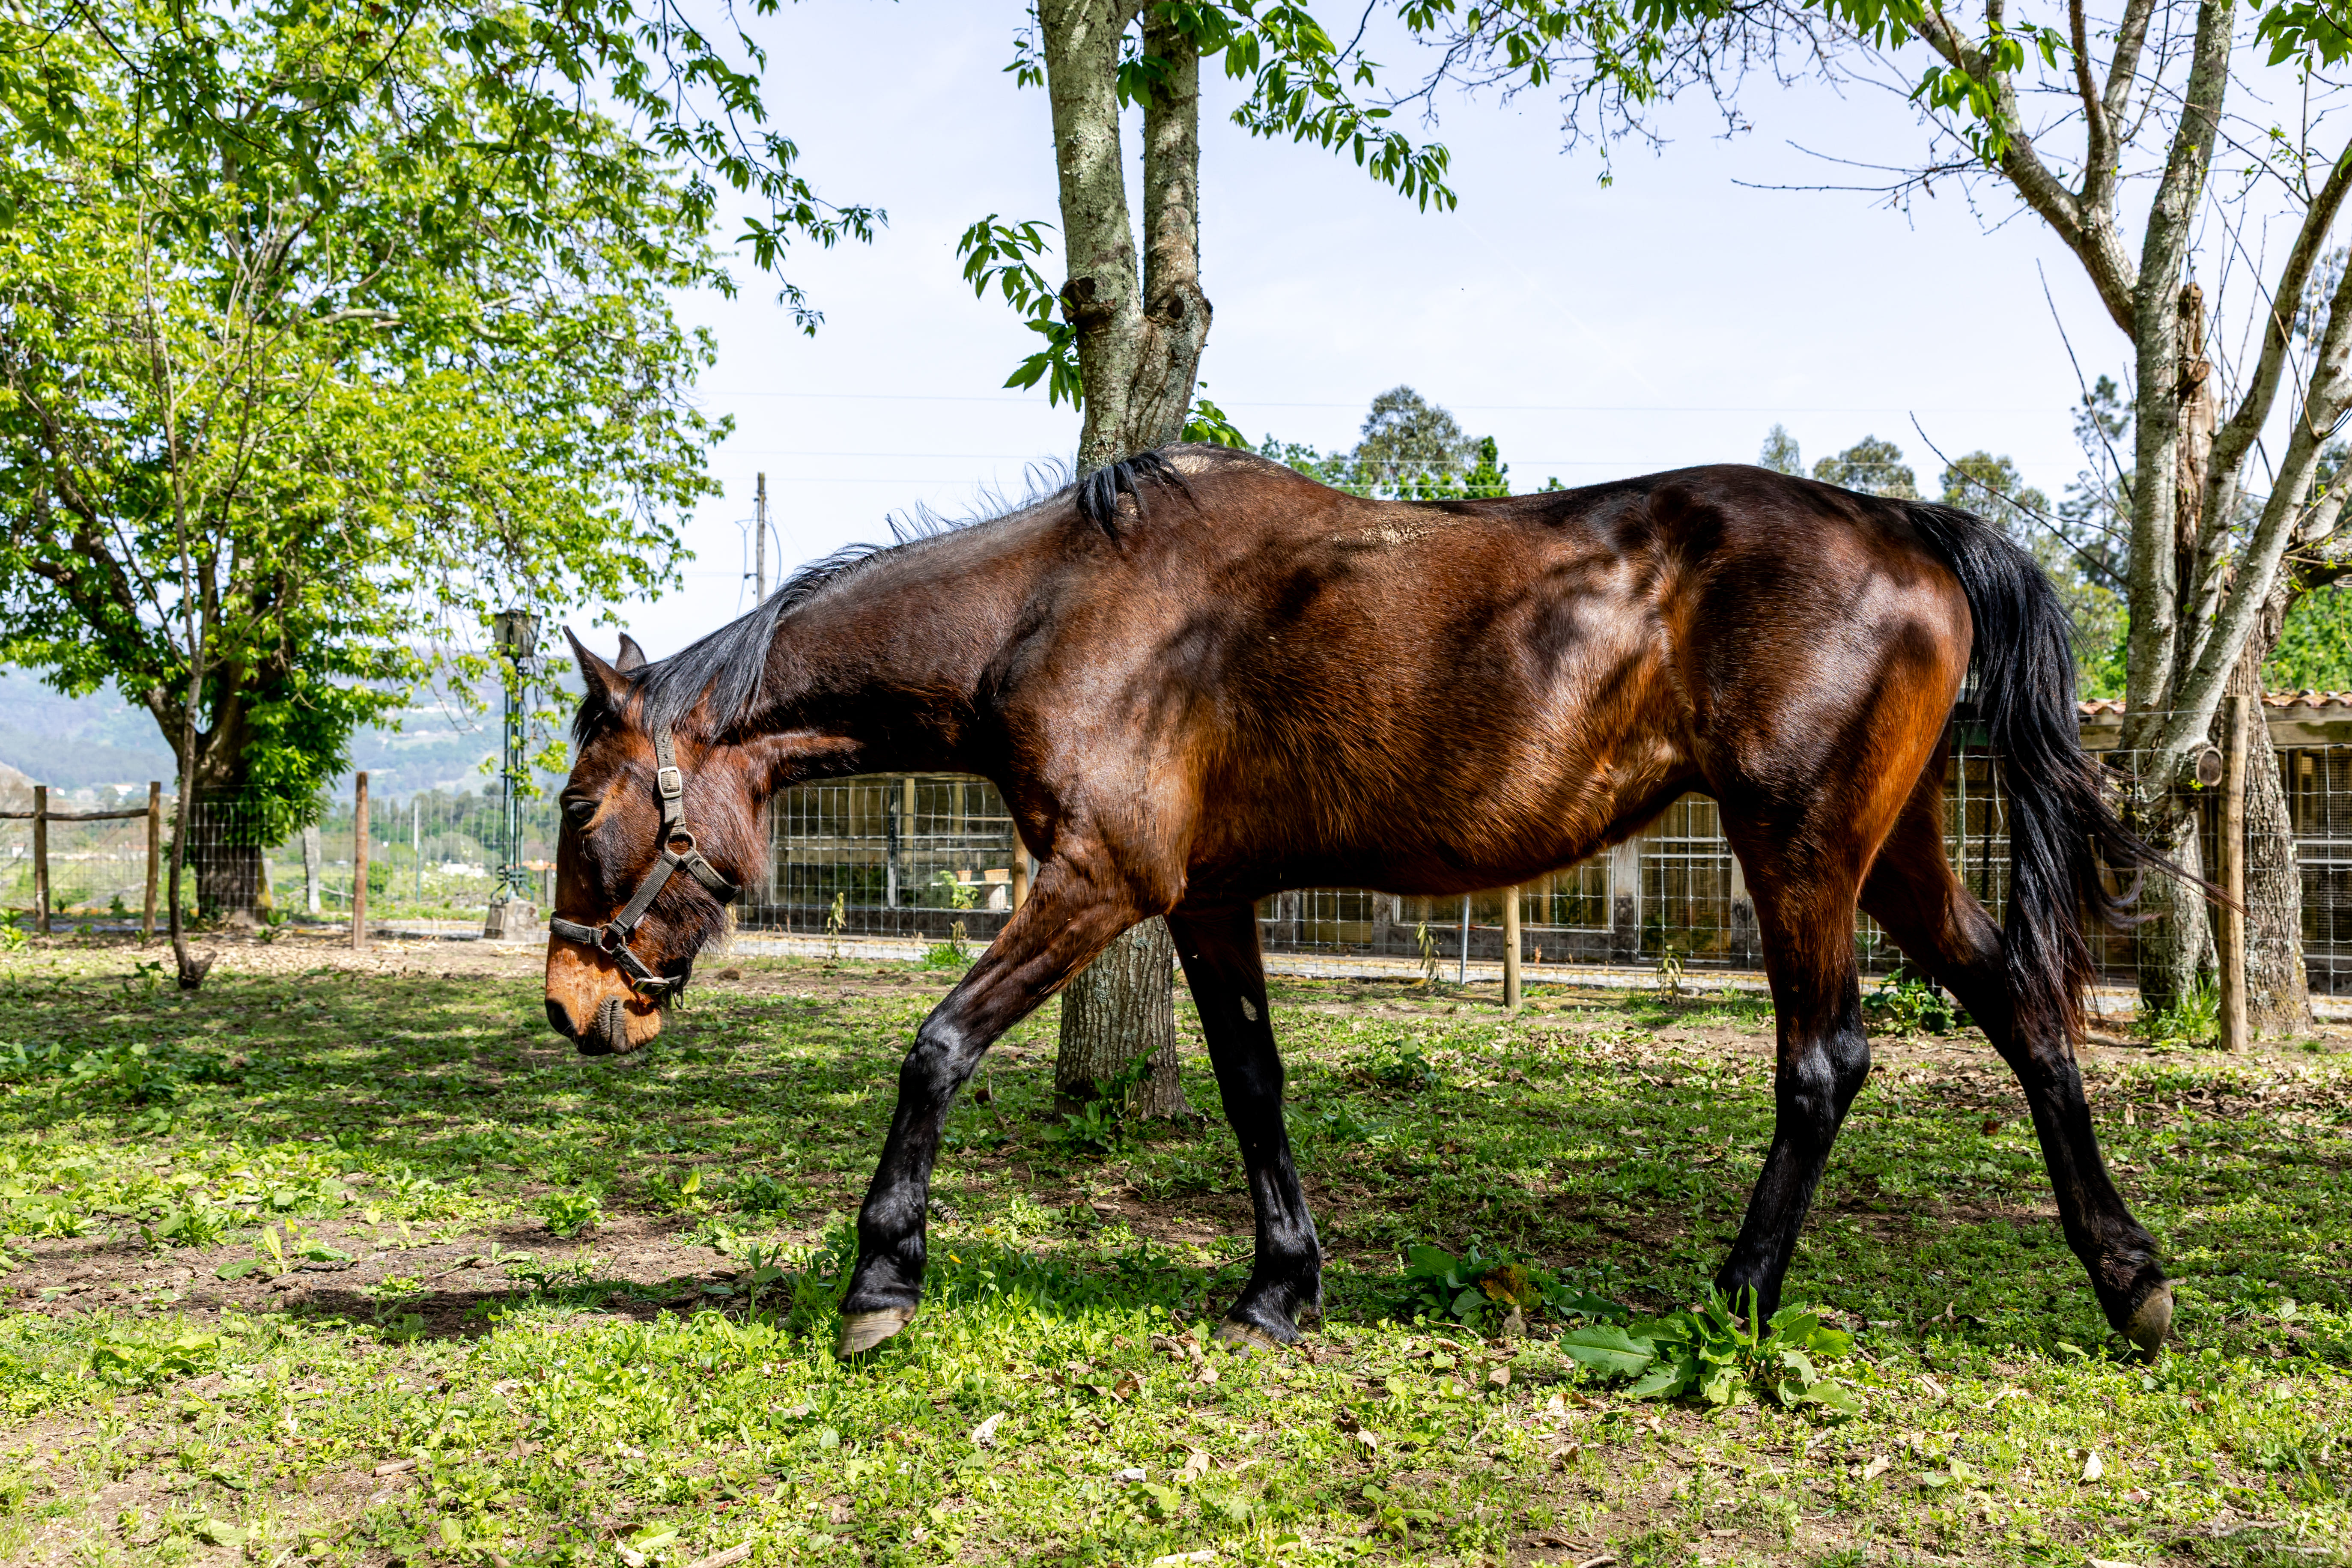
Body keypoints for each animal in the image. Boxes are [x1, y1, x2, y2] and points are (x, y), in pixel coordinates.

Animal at [542, 444, 2178, 1359]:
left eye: (574, 807)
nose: (572, 1001)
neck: (1057, 609)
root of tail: (1903, 524)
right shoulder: (1206, 902)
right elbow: (1254, 1085)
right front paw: (1280, 1286)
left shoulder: (1099, 881)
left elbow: (936, 1045)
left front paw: (882, 1277)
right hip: (1885, 852)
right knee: (2025, 1009)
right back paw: (2130, 1281)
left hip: (1799, 851)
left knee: (1823, 1063)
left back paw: (1730, 1300)